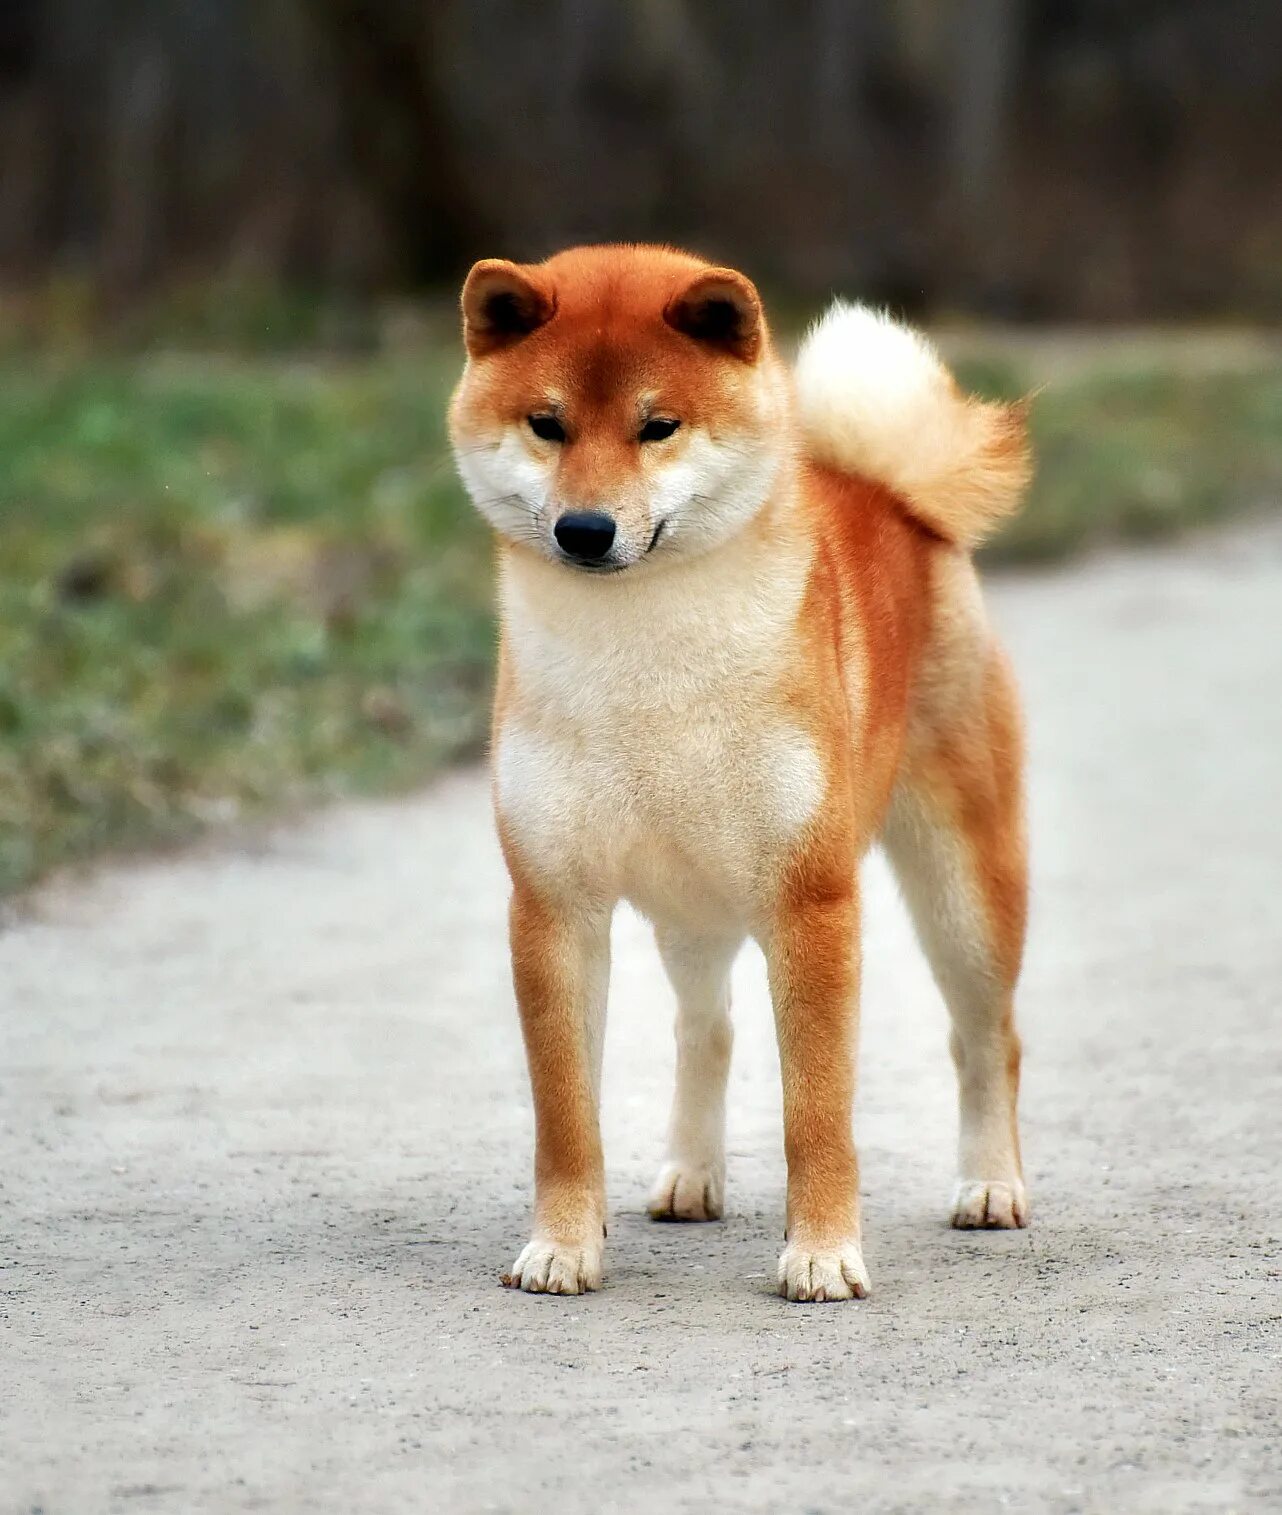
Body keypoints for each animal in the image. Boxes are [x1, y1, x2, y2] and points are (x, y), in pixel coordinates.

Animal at [451, 242, 1036, 1296]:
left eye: (659, 426)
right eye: (547, 424)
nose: (585, 528)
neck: (644, 658)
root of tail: (891, 498)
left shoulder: (810, 900)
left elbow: (818, 1112)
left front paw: (824, 1252)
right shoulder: (553, 904)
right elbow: (566, 1117)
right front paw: (563, 1244)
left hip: (963, 885)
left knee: (987, 1036)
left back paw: (991, 1185)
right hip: (693, 902)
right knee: (706, 1026)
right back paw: (691, 1173)